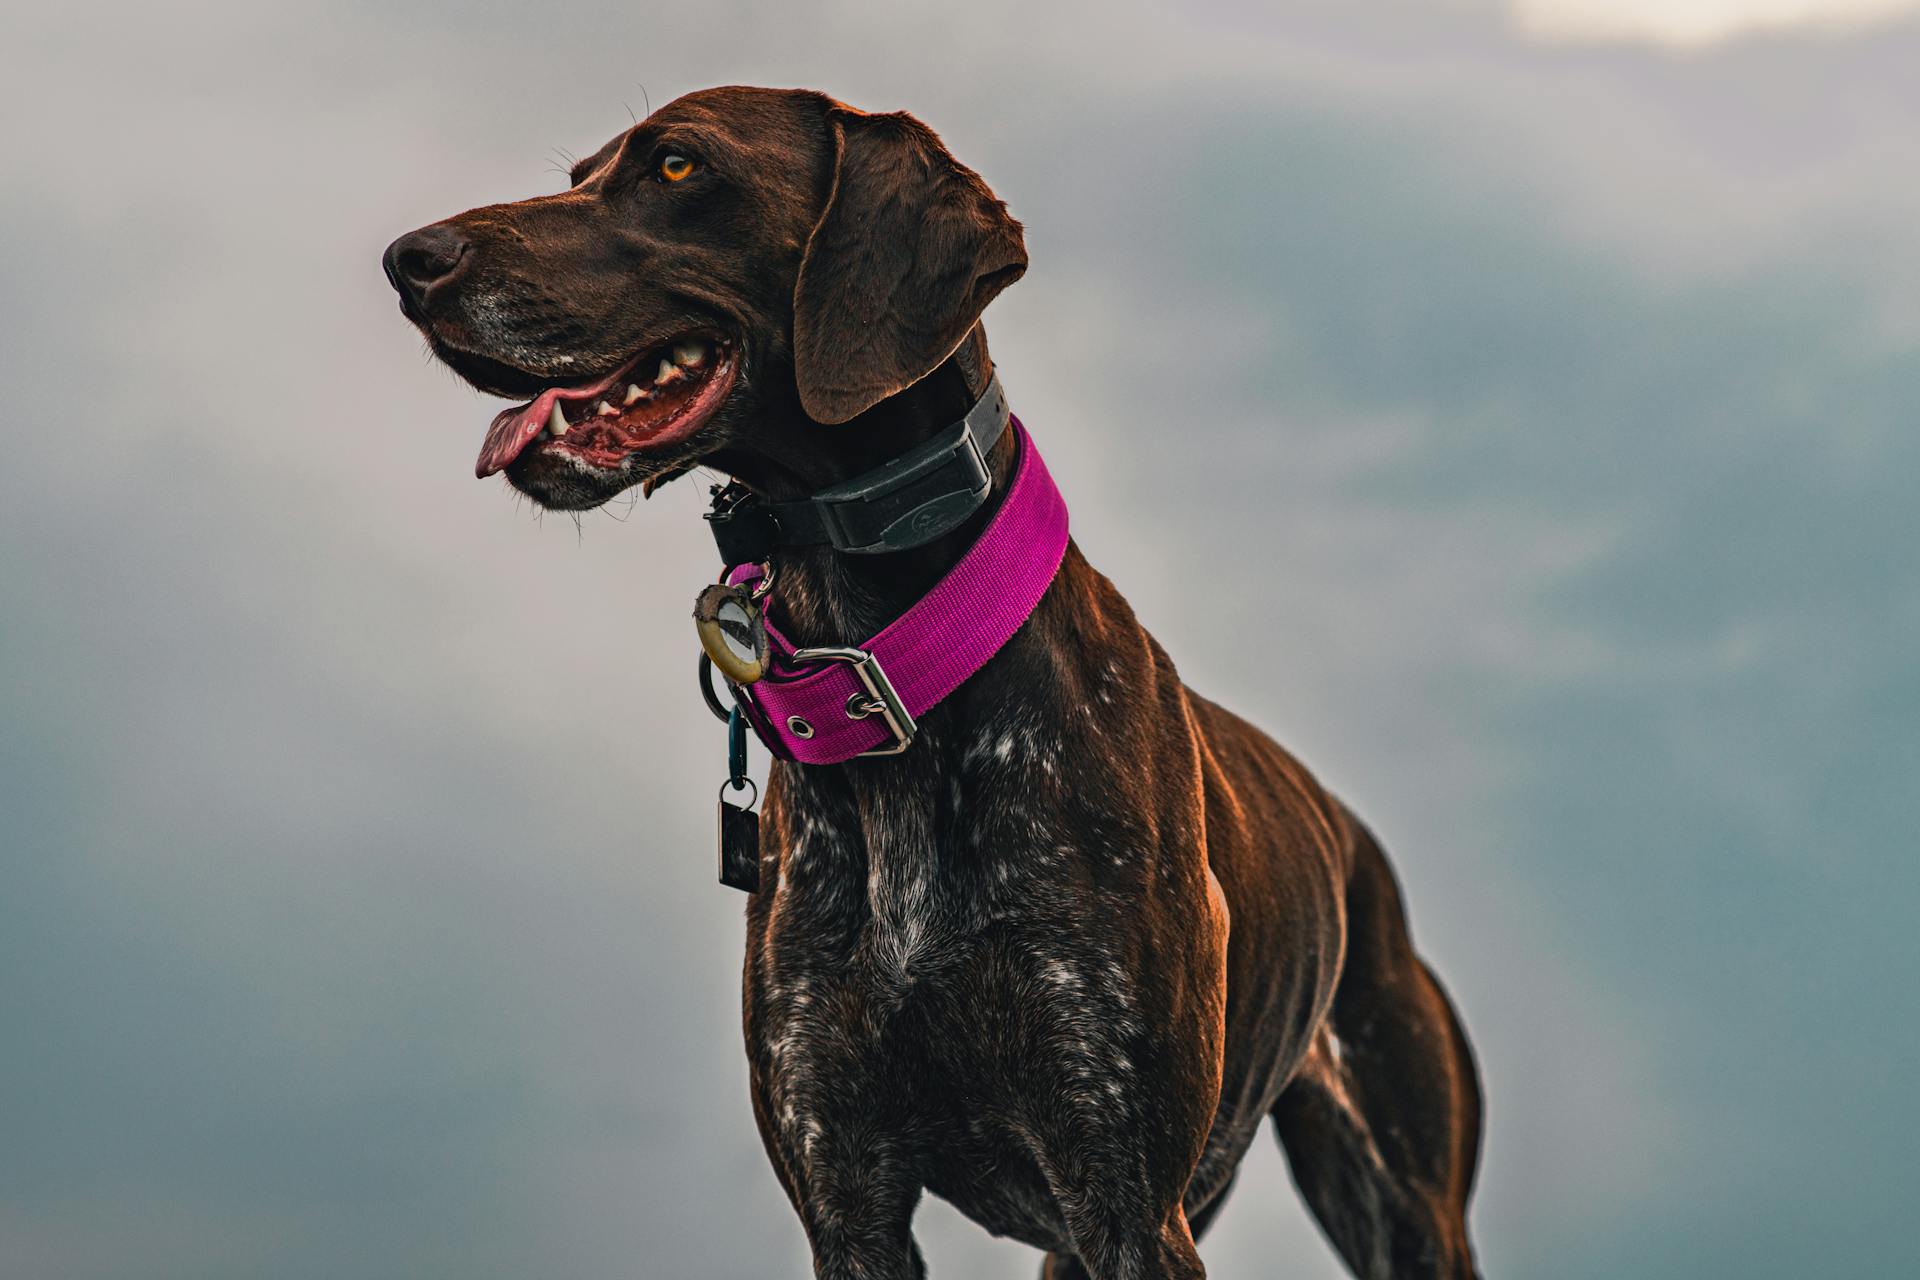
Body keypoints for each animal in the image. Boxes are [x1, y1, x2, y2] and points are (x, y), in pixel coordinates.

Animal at [378, 84, 1482, 1274]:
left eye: (676, 165)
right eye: (582, 173)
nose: (408, 259)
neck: (892, 677)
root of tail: (1354, 836)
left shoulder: (1128, 1196)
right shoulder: (846, 1186)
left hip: (1402, 1202)